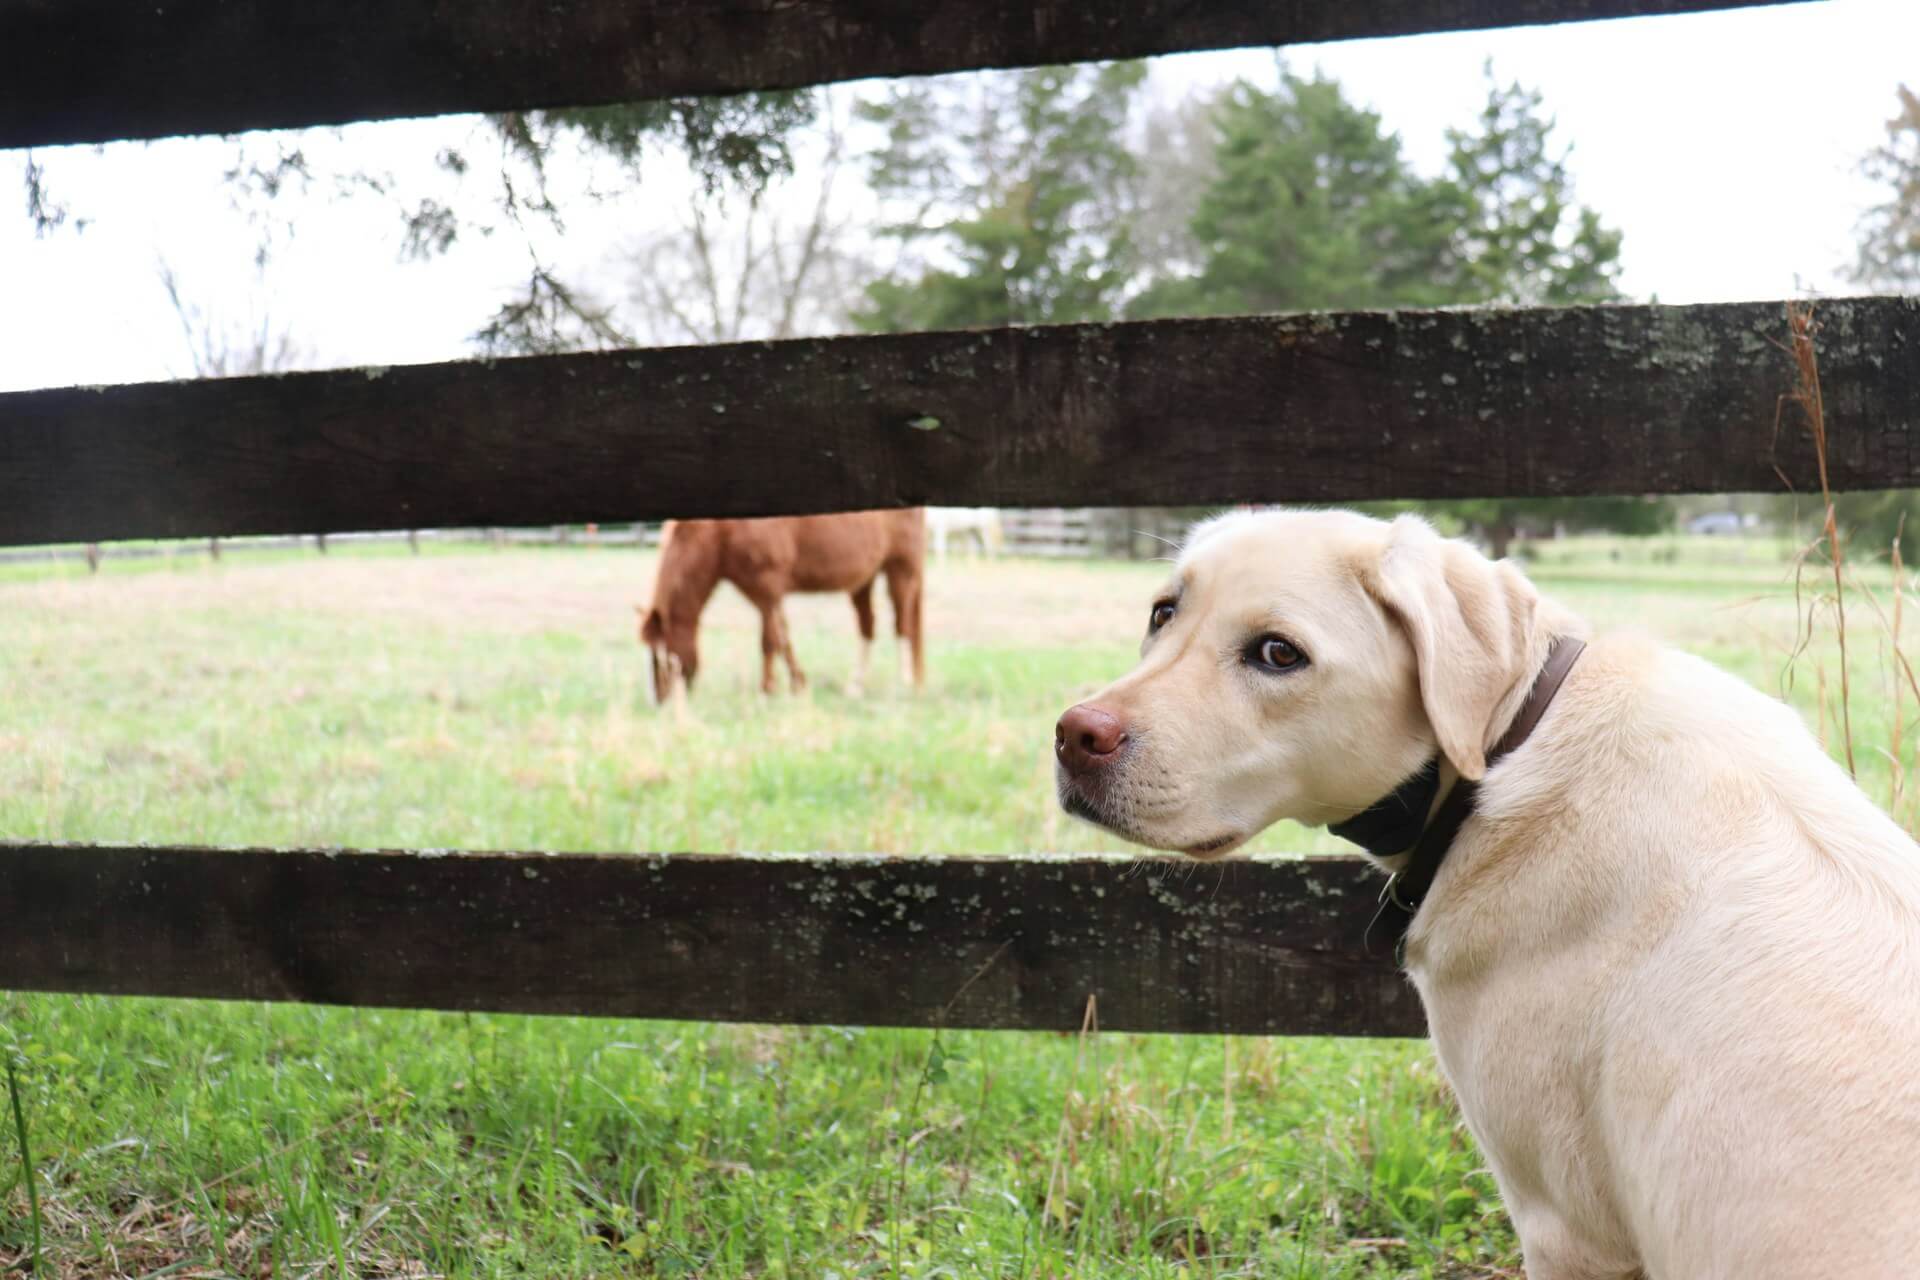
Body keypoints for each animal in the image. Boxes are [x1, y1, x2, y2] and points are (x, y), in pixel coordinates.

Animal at [637, 509, 926, 703]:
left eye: (662, 652)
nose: (658, 700)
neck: (721, 530)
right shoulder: (765, 595)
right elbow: (784, 639)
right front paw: (799, 685)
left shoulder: (768, 587)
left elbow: (769, 641)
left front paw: (766, 691)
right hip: (864, 581)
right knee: (868, 628)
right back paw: (855, 687)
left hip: (900, 569)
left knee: (903, 626)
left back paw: (905, 682)